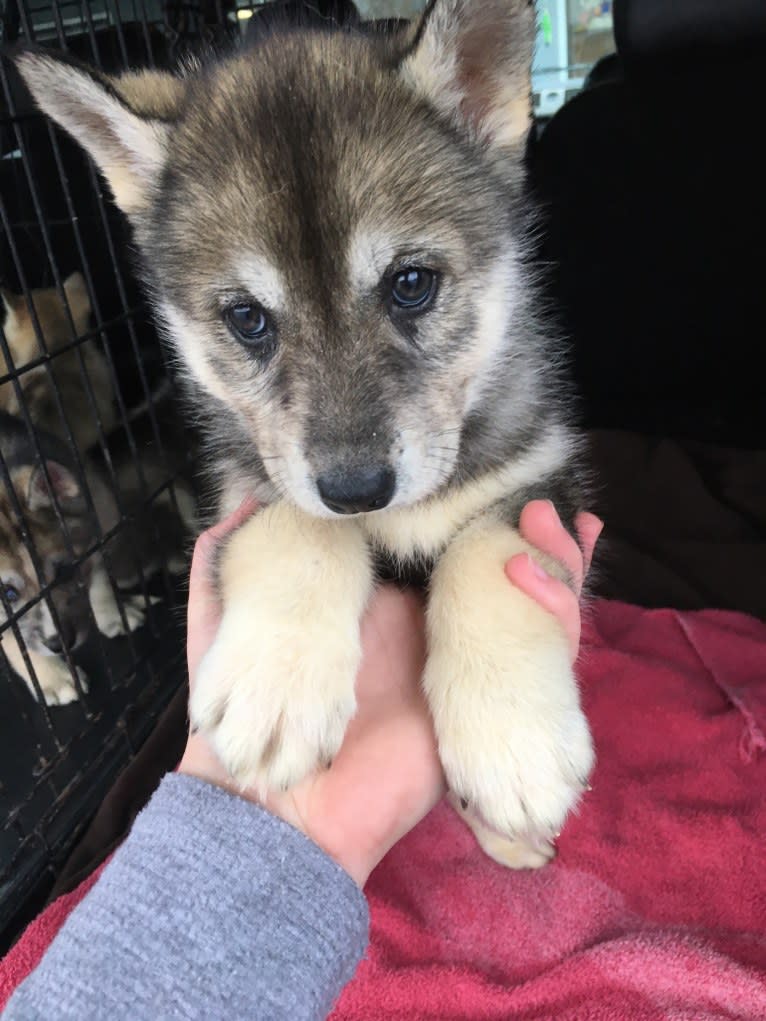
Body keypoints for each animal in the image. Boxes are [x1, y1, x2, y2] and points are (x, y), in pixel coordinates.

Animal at [15, 0, 596, 865]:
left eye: (411, 284)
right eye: (248, 319)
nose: (357, 490)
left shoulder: (541, 476)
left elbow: (488, 558)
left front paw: (511, 745)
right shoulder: (244, 489)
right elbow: (297, 526)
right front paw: (275, 683)